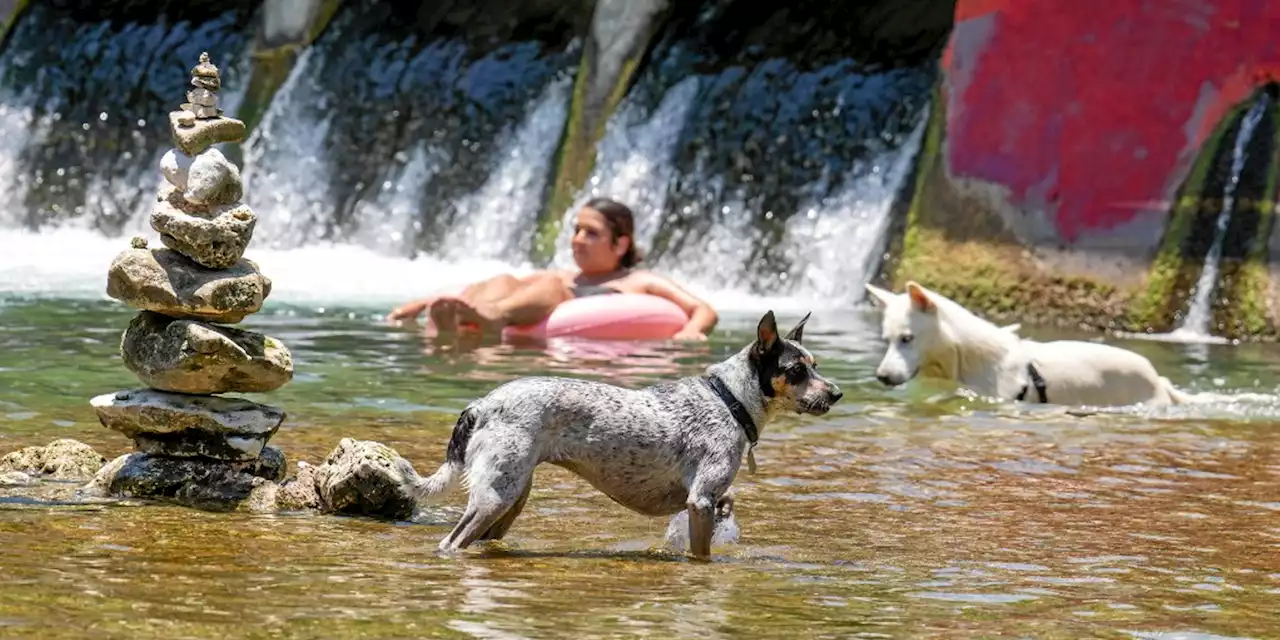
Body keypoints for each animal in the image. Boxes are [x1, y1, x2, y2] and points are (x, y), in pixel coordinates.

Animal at [414, 311, 844, 560]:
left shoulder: (704, 500)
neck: (729, 399)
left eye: (816, 365)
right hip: (494, 497)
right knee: (451, 542)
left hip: (512, 495)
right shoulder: (700, 501)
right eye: (795, 370)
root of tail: (482, 403)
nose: (837, 393)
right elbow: (701, 554)